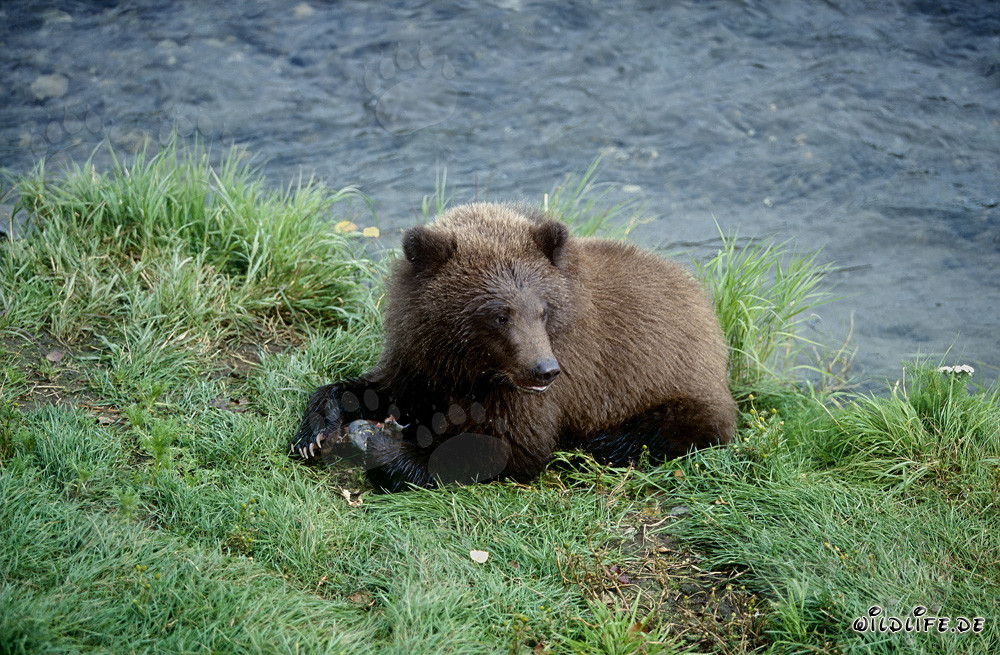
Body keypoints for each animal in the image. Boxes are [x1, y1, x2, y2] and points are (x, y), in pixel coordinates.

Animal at [291, 202, 735, 492]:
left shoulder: (544, 385)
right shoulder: (420, 357)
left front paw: (387, 446)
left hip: (676, 391)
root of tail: (706, 308)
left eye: (542, 309)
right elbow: (377, 388)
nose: (544, 370)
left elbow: (509, 443)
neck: (469, 364)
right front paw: (317, 430)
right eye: (499, 315)